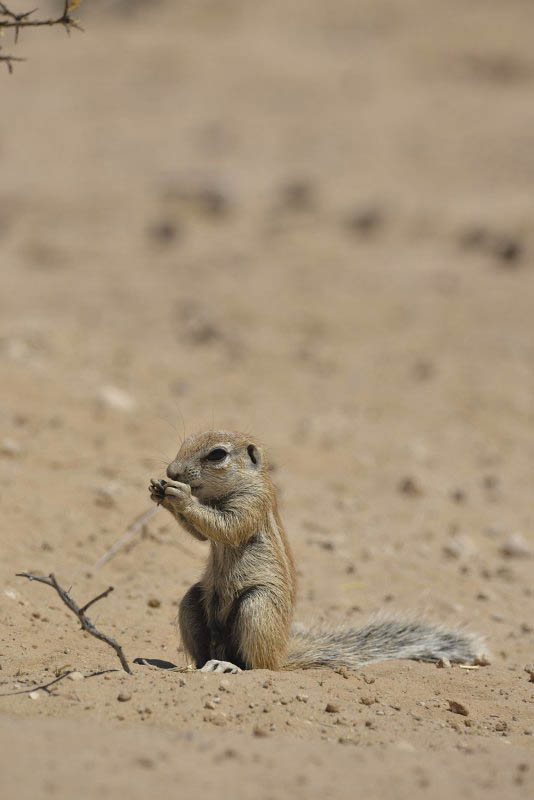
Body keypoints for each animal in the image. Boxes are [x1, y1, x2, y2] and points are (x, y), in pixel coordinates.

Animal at [149, 428, 488, 672]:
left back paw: (228, 666)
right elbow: (202, 535)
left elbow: (226, 527)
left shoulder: (252, 504)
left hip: (258, 605)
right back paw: (197, 665)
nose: (172, 471)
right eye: (185, 442)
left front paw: (180, 496)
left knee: (258, 666)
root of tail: (282, 654)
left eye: (217, 454)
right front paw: (159, 492)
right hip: (193, 600)